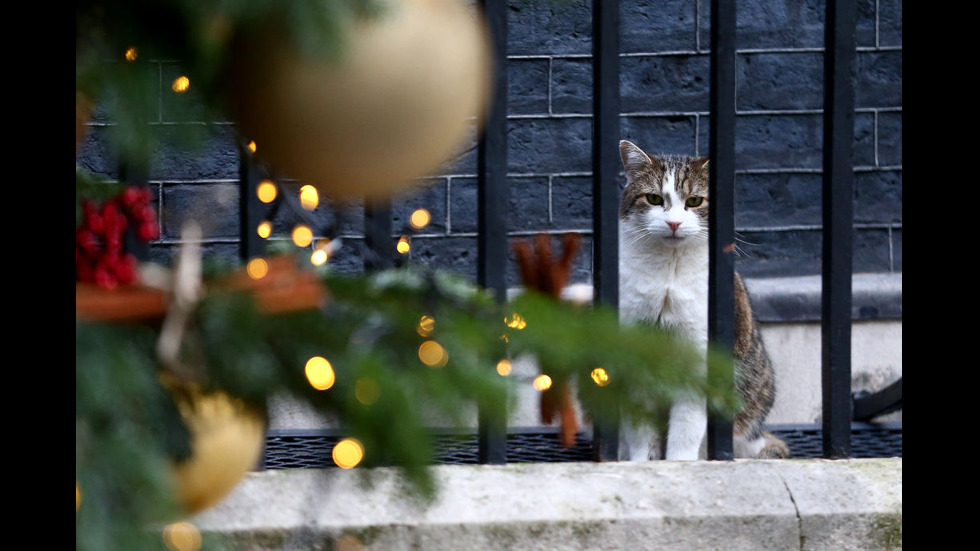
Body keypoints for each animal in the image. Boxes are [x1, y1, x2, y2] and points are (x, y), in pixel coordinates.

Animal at [620, 140, 788, 460]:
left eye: (695, 201)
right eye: (654, 198)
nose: (673, 223)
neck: (669, 275)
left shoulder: (700, 358)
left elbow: (686, 428)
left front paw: (679, 463)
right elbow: (640, 432)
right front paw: (642, 462)